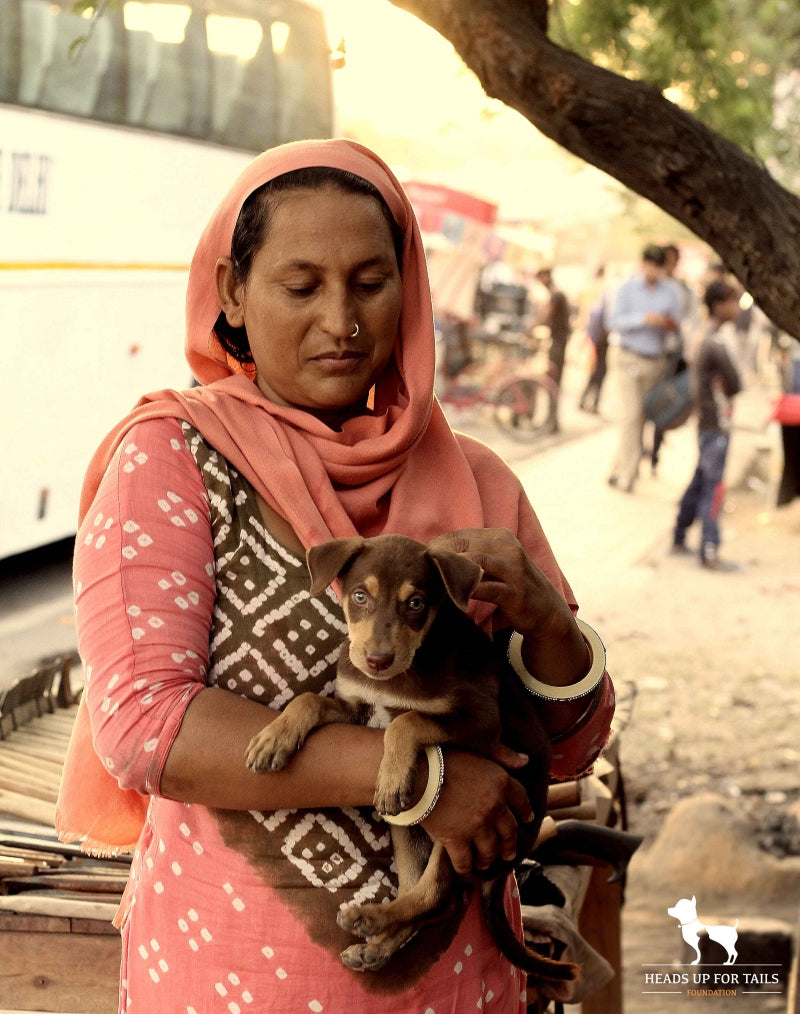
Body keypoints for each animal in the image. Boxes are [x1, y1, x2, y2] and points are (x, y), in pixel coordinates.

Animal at [246, 535, 575, 985]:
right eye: (360, 596)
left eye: (416, 603)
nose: (377, 660)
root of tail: (507, 867)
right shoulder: (356, 706)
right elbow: (310, 699)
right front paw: (274, 738)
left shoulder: (481, 721)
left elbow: (407, 720)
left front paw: (391, 776)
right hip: (410, 832)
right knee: (424, 897)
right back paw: (377, 943)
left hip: (466, 836)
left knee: (437, 897)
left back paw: (370, 918)